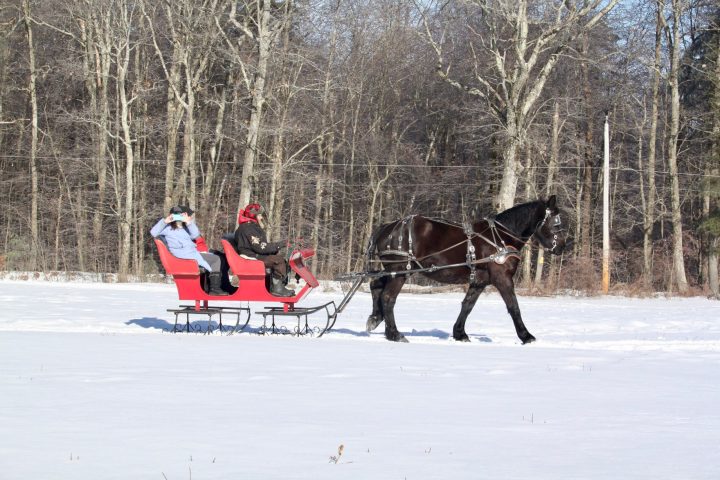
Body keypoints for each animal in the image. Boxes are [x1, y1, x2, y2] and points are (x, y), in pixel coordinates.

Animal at [365, 195, 568, 343]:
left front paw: (460, 333)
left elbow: (468, 306)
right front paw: (526, 336)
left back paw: (376, 319)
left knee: (376, 285)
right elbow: (513, 306)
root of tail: (387, 227)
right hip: (400, 271)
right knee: (388, 297)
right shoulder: (501, 277)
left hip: (395, 271)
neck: (501, 238)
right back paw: (394, 333)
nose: (561, 247)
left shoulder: (480, 280)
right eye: (556, 223)